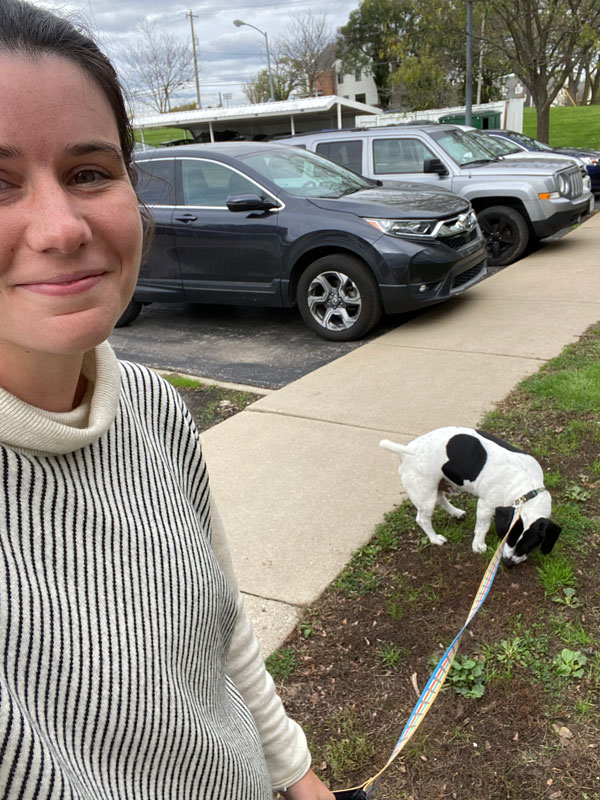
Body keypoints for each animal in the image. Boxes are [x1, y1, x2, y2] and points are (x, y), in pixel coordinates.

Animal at [380, 428, 564, 564]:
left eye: (530, 545)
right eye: (509, 537)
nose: (508, 562)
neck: (526, 486)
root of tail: (407, 450)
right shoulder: (485, 506)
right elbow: (483, 527)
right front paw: (478, 545)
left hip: (438, 485)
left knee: (441, 499)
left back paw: (456, 512)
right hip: (425, 496)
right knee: (422, 519)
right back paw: (435, 539)